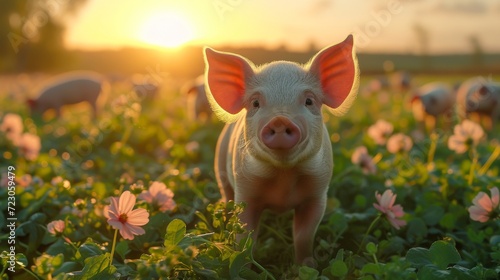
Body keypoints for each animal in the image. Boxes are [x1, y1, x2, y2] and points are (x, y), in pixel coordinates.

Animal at [203, 35, 360, 264]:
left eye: (309, 101)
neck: (284, 176)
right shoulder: (245, 190)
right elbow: (245, 235)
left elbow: (304, 235)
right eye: (256, 103)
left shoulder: (318, 194)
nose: (279, 119)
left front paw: (307, 266)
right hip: (220, 167)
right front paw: (245, 264)